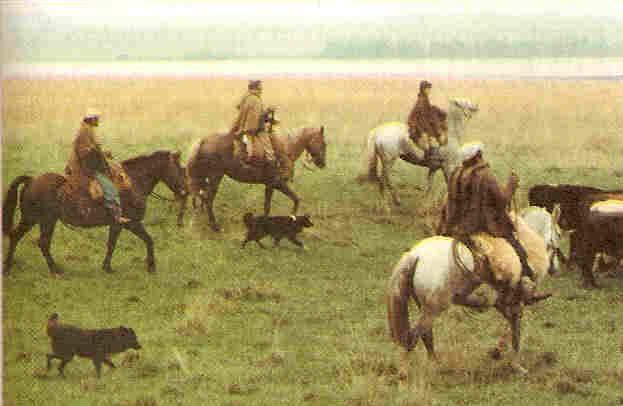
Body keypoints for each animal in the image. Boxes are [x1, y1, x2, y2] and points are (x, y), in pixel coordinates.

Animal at [3, 151, 188, 278]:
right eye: (180, 169)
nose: (185, 192)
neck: (132, 182)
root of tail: (31, 180)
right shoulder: (129, 223)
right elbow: (145, 240)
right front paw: (150, 266)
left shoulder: (119, 224)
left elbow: (114, 243)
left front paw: (107, 267)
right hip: (44, 220)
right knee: (41, 242)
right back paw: (54, 270)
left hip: (34, 220)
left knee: (17, 237)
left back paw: (8, 268)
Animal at [184, 126, 326, 232]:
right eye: (324, 144)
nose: (323, 164)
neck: (285, 150)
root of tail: (203, 141)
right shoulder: (275, 184)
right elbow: (271, 205)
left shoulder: (274, 185)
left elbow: (294, 199)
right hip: (215, 176)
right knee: (208, 199)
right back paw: (215, 226)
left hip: (206, 177)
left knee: (201, 197)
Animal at [388, 206, 564, 380]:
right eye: (559, 234)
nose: (555, 268)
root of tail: (415, 255)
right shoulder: (515, 303)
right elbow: (515, 331)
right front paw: (515, 364)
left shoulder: (501, 302)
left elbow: (511, 325)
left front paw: (498, 353)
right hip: (433, 309)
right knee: (412, 337)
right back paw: (404, 373)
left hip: (425, 308)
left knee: (426, 335)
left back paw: (436, 366)